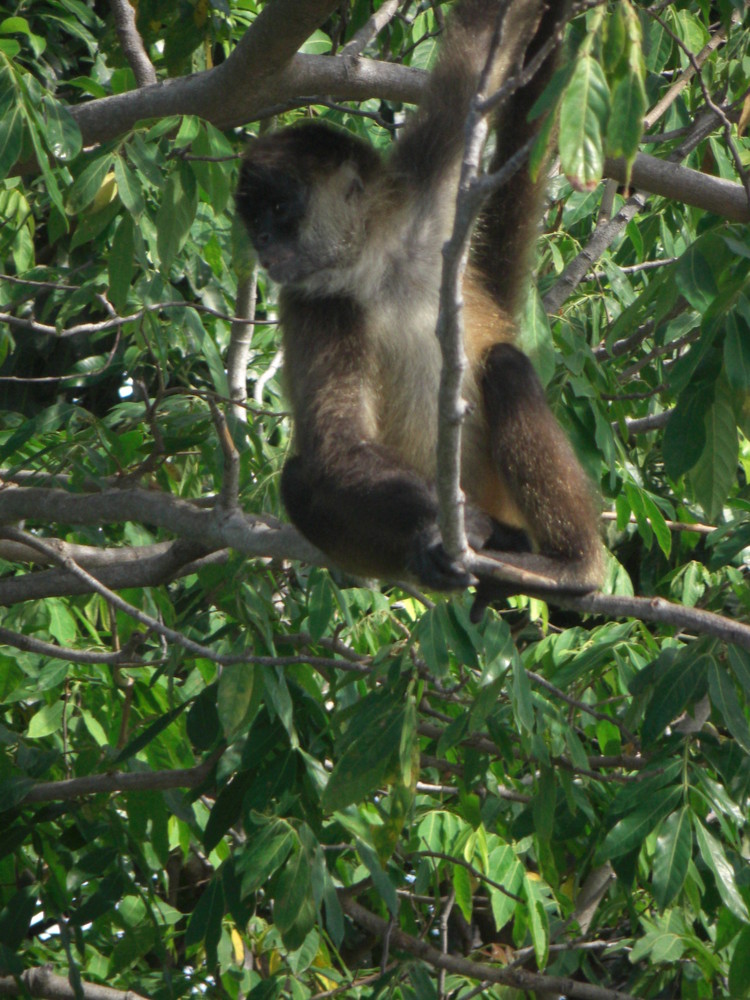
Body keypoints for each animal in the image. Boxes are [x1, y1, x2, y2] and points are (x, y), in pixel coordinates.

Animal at [238, 0, 608, 604]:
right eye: (252, 217)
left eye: (278, 209)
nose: (262, 242)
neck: (377, 264)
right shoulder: (313, 299)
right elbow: (340, 445)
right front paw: (448, 530)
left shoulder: (429, 189)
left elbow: (483, 42)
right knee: (299, 478)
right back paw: (442, 553)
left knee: (505, 365)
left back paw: (574, 566)